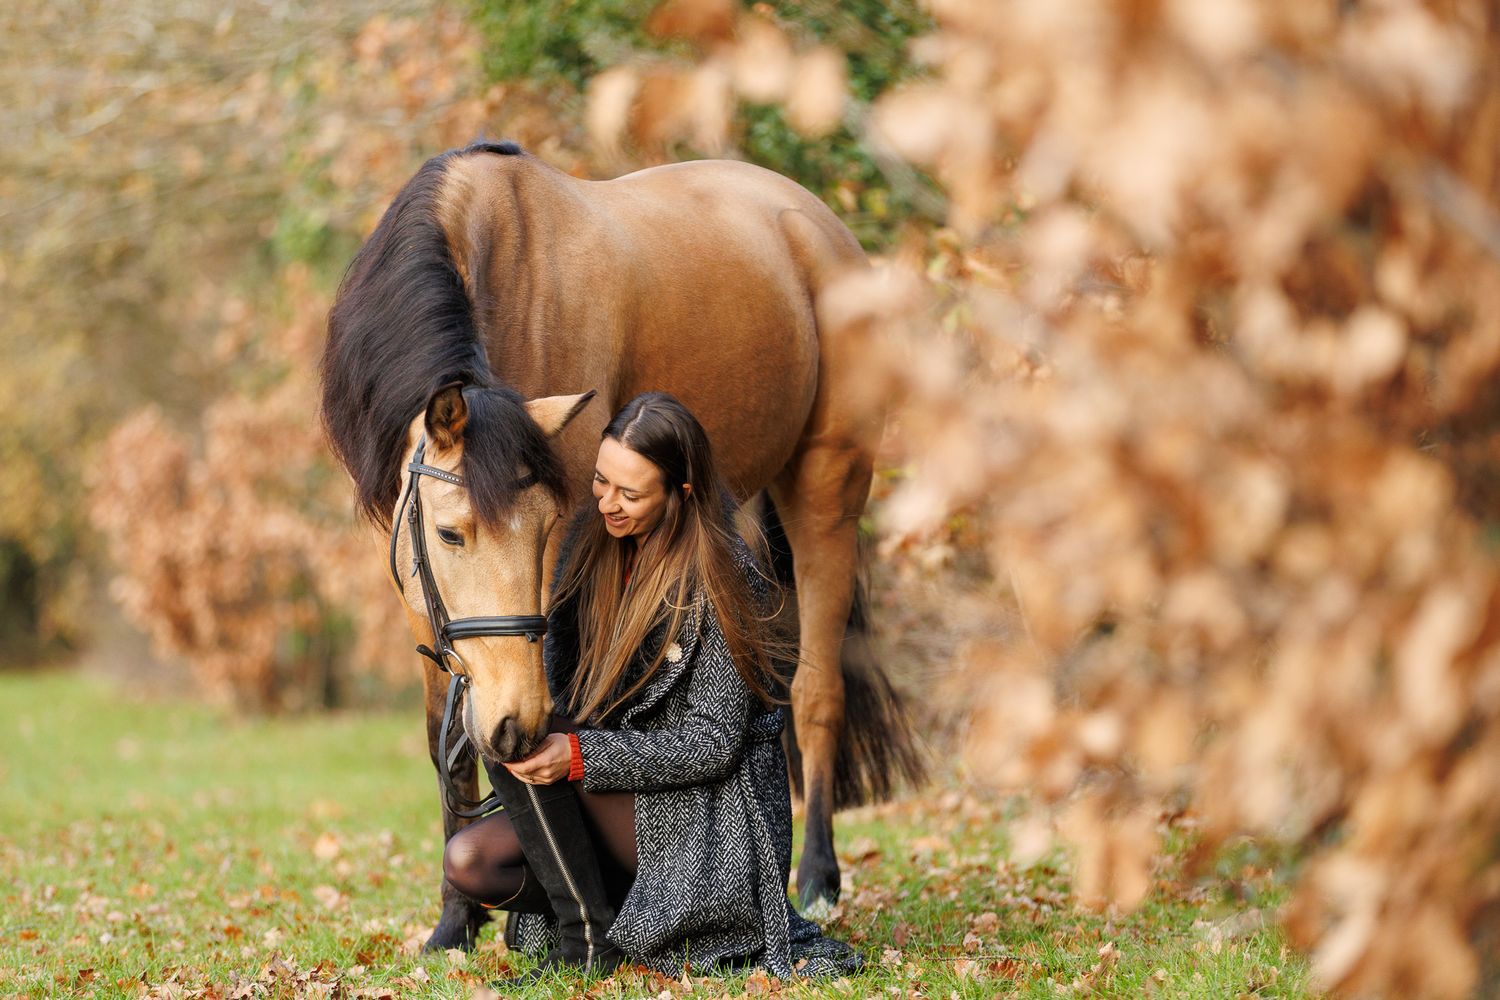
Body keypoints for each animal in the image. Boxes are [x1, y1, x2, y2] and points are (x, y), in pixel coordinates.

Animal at [319, 140, 923, 951]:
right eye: (449, 532)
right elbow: (444, 742)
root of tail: (818, 225)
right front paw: (454, 920)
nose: (514, 726)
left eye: (546, 531)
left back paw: (817, 878)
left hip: (828, 490)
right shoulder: (420, 588)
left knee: (816, 691)